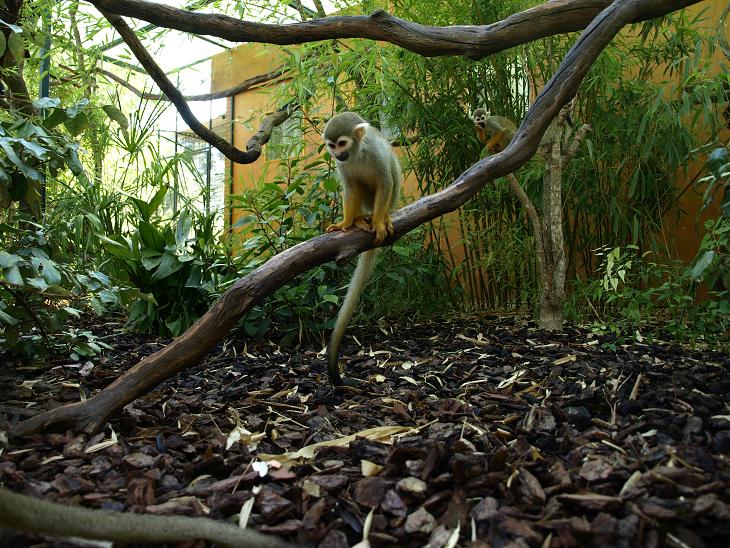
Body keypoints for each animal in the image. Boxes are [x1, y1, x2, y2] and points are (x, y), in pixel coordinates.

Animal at [322, 111, 402, 386]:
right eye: (331, 145)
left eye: (342, 143)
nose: (337, 154)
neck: (356, 153)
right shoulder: (343, 167)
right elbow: (350, 188)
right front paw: (345, 223)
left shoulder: (375, 152)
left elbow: (385, 181)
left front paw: (379, 222)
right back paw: (359, 219)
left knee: (392, 172)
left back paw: (381, 216)